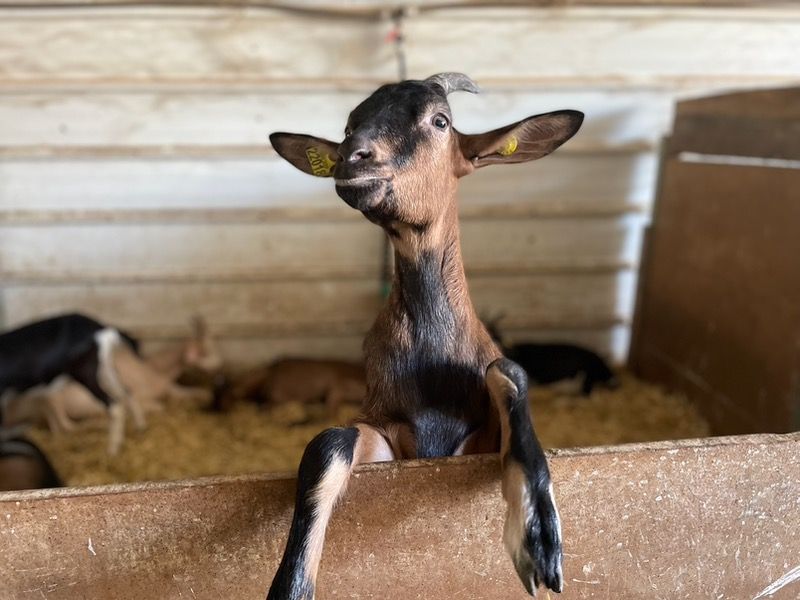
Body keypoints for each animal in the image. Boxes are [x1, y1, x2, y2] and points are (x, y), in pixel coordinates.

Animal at [267, 72, 583, 598]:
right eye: (348, 124)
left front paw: (537, 534)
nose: (352, 157)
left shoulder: (478, 437)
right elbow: (328, 442)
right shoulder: (384, 432)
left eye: (440, 121)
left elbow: (507, 370)